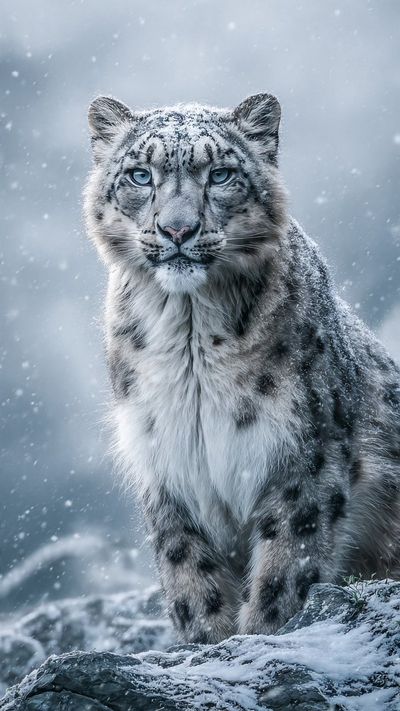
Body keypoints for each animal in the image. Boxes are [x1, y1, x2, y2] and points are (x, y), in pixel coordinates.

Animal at [84, 93, 400, 643]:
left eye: (220, 174)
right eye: (140, 175)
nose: (177, 228)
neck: (189, 342)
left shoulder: (305, 459)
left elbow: (284, 569)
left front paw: (262, 632)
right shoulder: (166, 465)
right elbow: (189, 577)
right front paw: (205, 640)